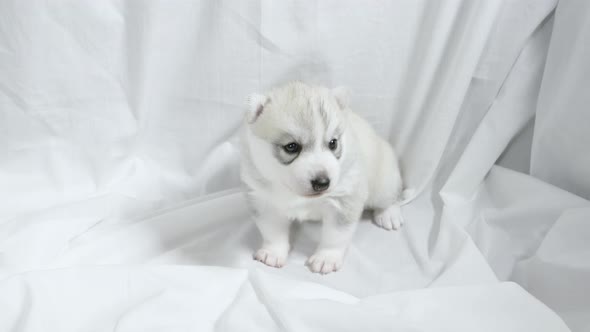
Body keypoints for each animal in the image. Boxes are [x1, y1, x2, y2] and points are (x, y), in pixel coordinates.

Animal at [239, 81, 402, 274]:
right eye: (291, 146)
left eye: (333, 143)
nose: (323, 182)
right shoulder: (263, 200)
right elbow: (272, 231)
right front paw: (273, 253)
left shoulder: (344, 198)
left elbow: (336, 235)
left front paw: (326, 258)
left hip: (384, 180)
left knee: (389, 198)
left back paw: (388, 214)